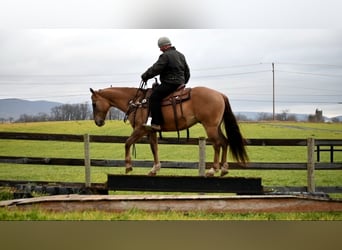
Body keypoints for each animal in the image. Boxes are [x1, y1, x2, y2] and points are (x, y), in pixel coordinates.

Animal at [89, 85, 247, 176]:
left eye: (94, 103)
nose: (98, 122)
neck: (137, 102)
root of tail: (220, 94)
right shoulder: (151, 131)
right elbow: (154, 148)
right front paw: (155, 169)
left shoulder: (140, 129)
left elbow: (127, 143)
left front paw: (128, 166)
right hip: (216, 127)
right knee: (225, 142)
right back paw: (224, 168)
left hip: (210, 127)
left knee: (217, 145)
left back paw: (213, 169)